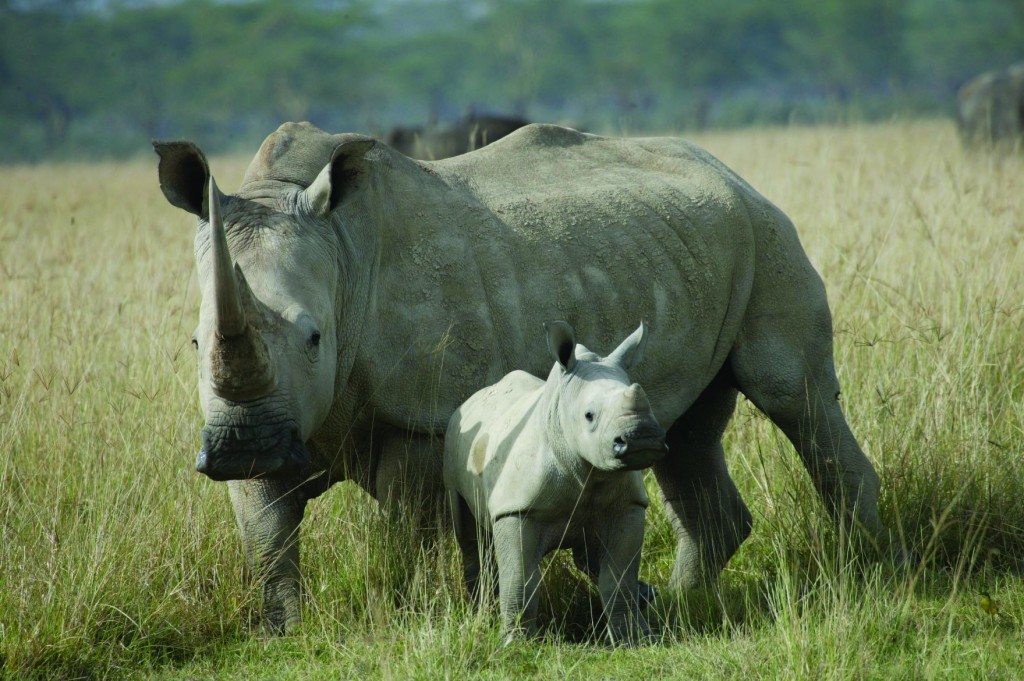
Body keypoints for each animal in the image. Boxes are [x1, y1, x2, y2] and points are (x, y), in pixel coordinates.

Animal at [445, 321, 666, 644]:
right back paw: (480, 612)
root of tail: (471, 399)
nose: (643, 439)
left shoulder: (627, 505)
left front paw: (635, 639)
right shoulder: (516, 509)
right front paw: (515, 642)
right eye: (589, 416)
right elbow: (521, 579)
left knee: (590, 557)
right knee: (470, 538)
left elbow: (618, 579)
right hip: (455, 441)